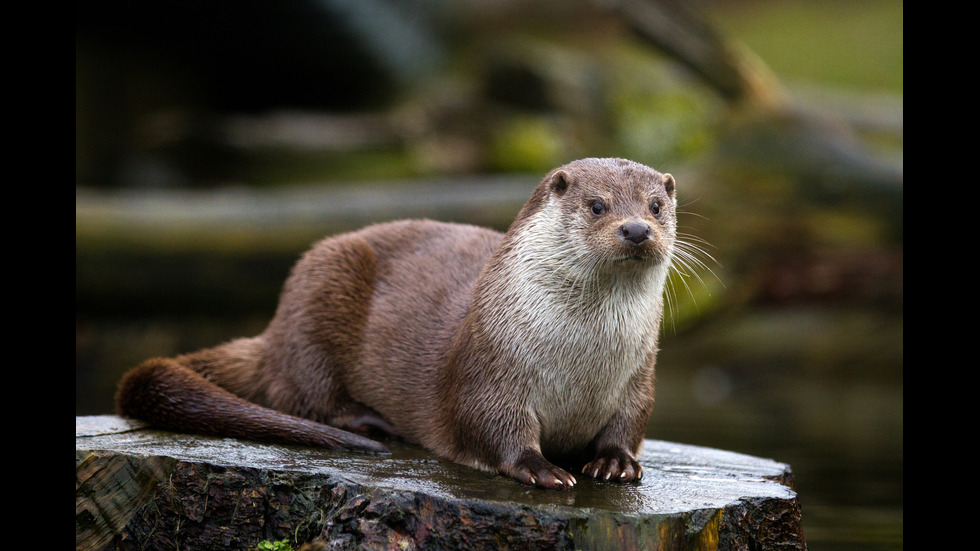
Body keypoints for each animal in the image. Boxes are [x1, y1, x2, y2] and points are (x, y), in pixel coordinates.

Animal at [115, 157, 676, 490]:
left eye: (657, 206)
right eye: (597, 205)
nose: (636, 229)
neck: (581, 364)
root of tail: (273, 333)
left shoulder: (639, 378)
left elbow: (631, 422)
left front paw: (615, 462)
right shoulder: (489, 369)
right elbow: (492, 426)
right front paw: (543, 469)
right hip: (319, 286)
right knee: (300, 392)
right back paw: (368, 422)